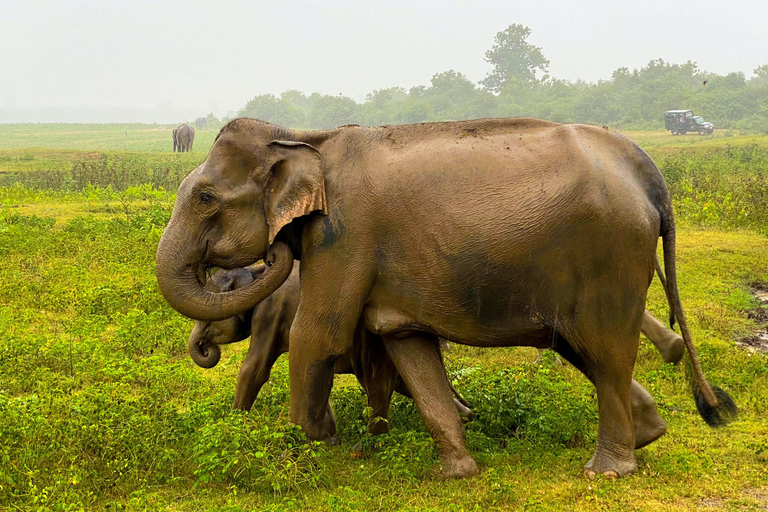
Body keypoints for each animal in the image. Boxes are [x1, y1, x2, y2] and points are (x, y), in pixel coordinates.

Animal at [189, 262, 472, 434]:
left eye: (204, 319)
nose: (205, 347)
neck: (256, 271)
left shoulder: (270, 312)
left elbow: (255, 369)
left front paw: (234, 425)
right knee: (403, 383)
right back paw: (467, 418)